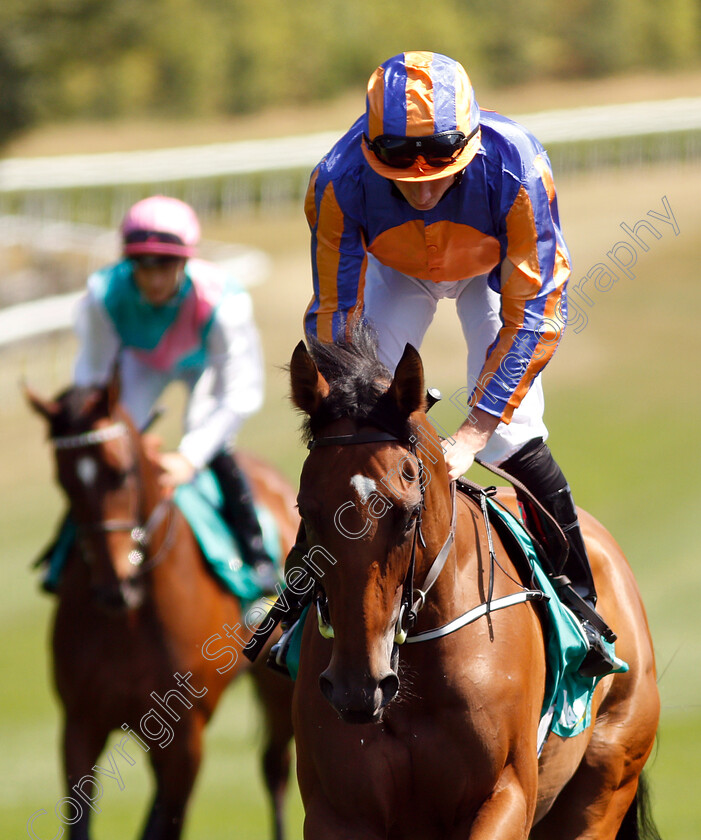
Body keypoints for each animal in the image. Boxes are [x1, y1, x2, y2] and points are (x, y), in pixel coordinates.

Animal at [26, 382, 296, 840]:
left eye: (121, 472)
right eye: (63, 482)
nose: (113, 586)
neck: (131, 621)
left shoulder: (186, 737)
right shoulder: (82, 724)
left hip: (277, 689)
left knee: (275, 769)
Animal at [288, 328, 660, 840]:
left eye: (408, 515)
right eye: (307, 511)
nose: (356, 688)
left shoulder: (505, 793)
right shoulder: (339, 811)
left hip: (606, 780)